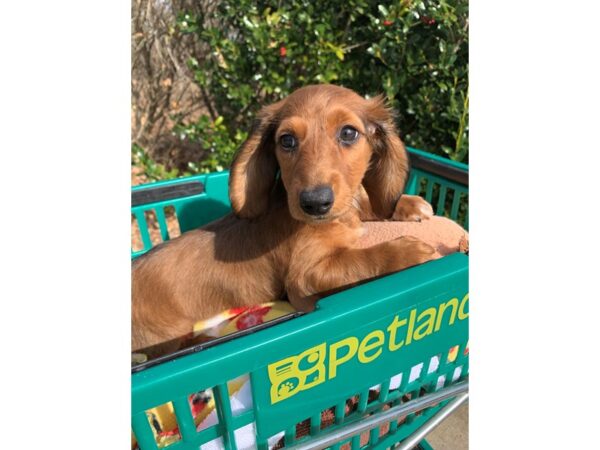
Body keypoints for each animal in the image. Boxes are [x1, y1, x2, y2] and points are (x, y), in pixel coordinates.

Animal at [131, 84, 434, 356]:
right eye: (287, 140)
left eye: (349, 132)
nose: (315, 203)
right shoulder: (302, 281)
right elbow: (360, 260)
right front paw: (407, 251)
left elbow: (366, 205)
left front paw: (409, 204)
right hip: (166, 336)